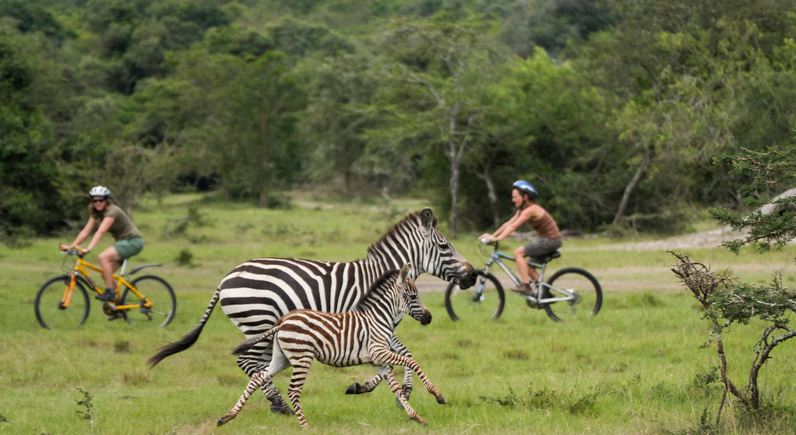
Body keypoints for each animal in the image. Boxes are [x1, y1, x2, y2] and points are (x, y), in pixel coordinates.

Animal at [215, 264, 444, 430]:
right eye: (413, 296)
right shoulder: (379, 352)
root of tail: (282, 322)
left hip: (282, 359)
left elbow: (395, 387)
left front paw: (416, 417)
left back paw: (227, 417)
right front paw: (437, 395)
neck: (378, 318)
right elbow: (412, 361)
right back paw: (306, 427)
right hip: (302, 357)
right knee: (292, 390)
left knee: (257, 378)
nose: (429, 318)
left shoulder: (378, 359)